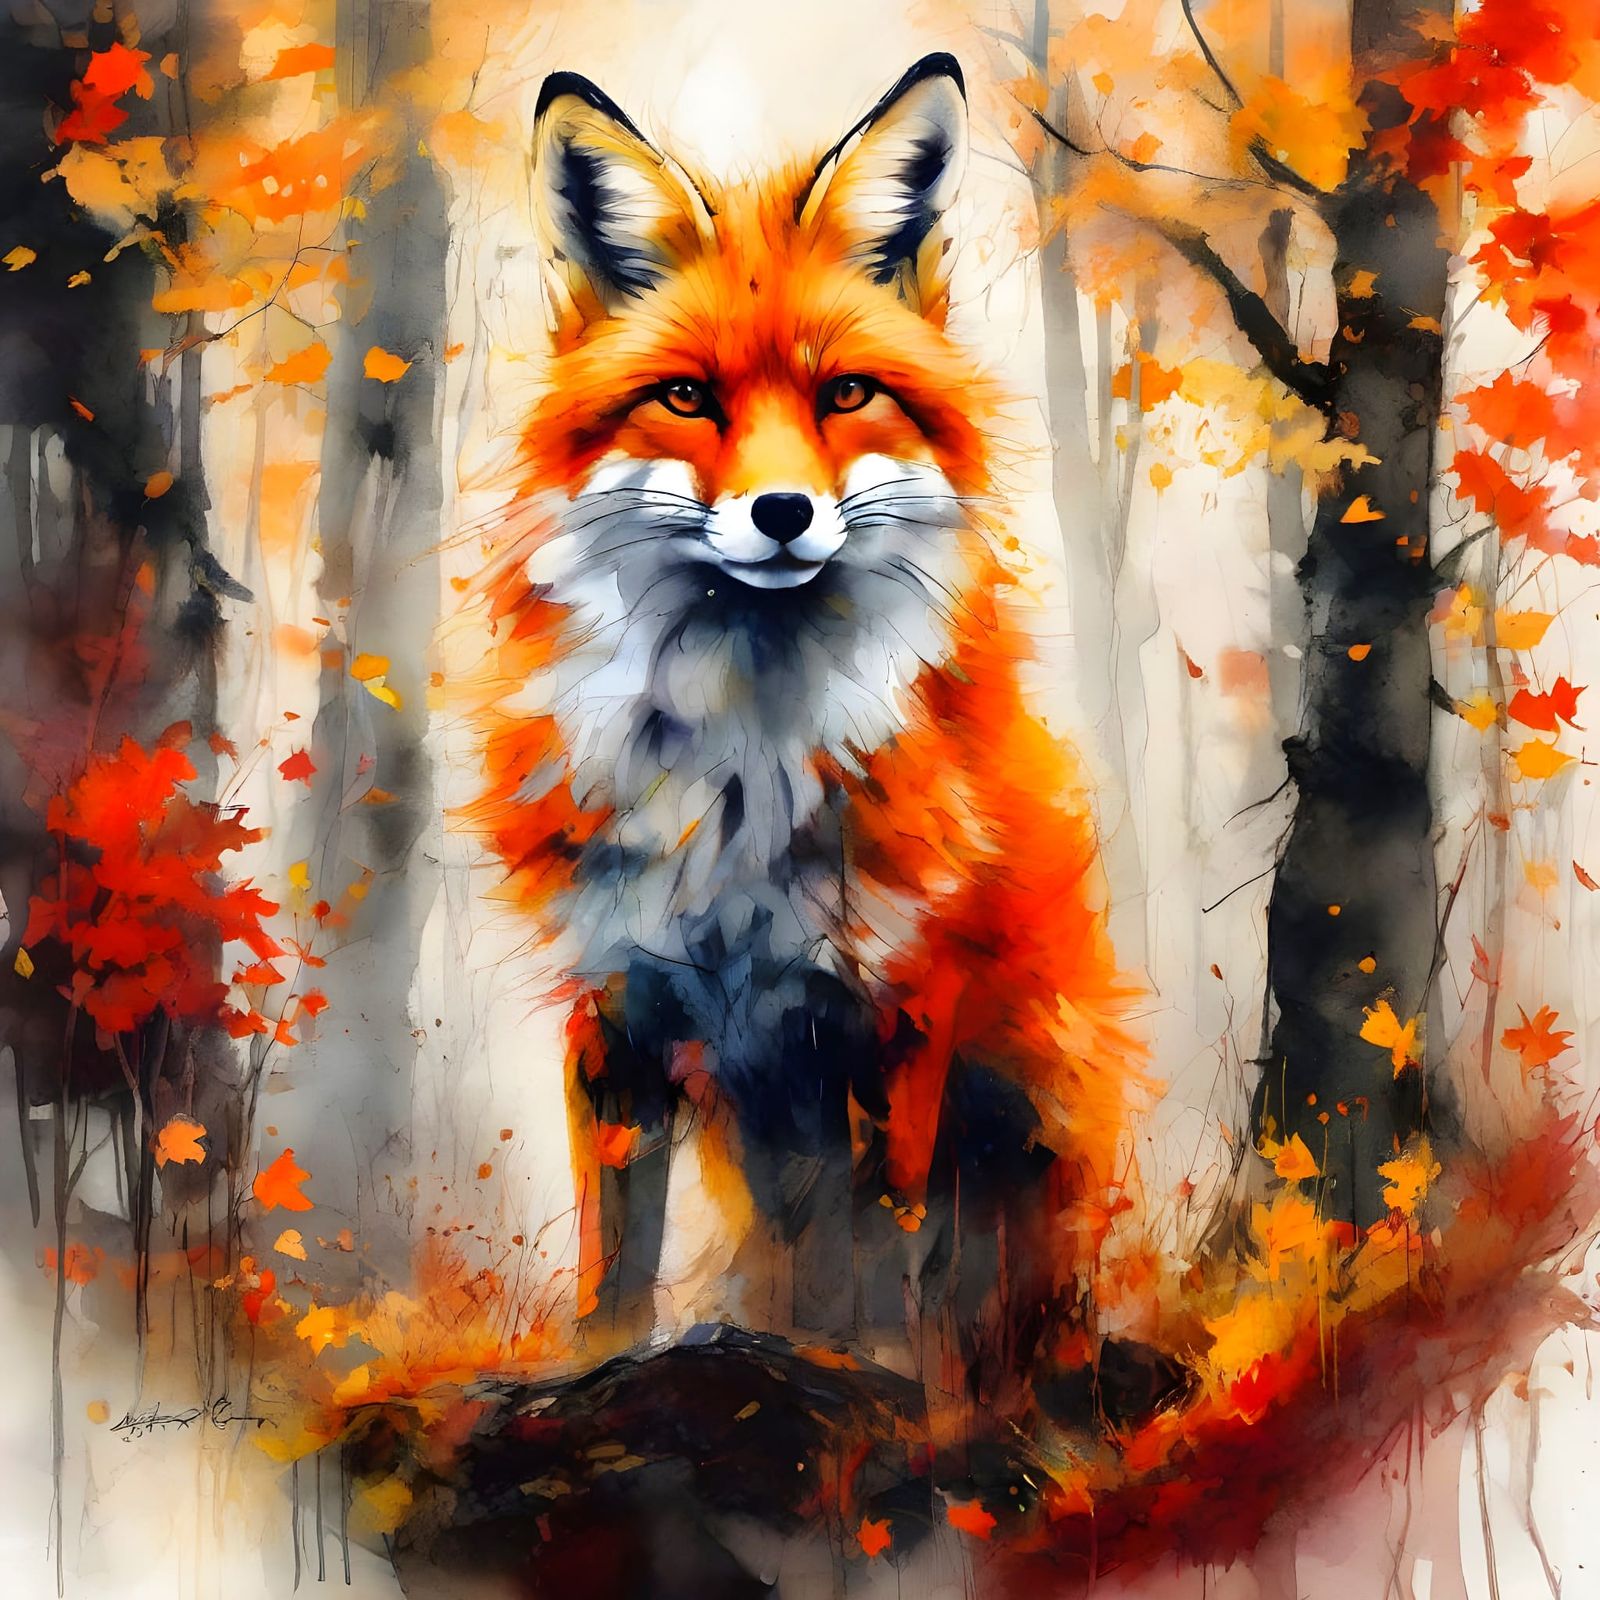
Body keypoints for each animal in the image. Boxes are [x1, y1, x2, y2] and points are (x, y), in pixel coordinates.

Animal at [468, 54, 1142, 1396]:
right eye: (686, 397)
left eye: (846, 394)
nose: (782, 512)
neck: (743, 768)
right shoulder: (617, 1000)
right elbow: (615, 1246)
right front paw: (594, 1372)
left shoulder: (897, 1004)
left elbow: (882, 1241)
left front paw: (868, 1380)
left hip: (1033, 1124)